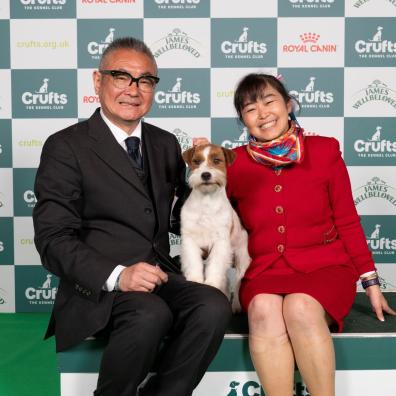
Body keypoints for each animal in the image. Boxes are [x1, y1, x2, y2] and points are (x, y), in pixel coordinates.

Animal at [180, 143, 249, 312]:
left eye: (217, 160)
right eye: (197, 161)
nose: (205, 175)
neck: (206, 200)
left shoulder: (220, 243)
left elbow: (215, 265)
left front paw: (211, 283)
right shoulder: (190, 240)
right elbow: (193, 262)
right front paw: (196, 280)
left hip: (241, 260)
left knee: (238, 283)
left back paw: (236, 305)